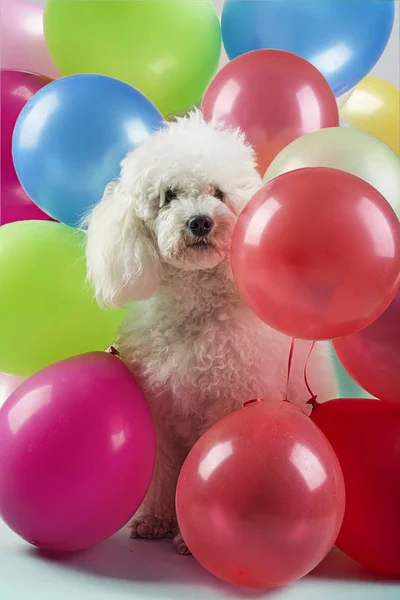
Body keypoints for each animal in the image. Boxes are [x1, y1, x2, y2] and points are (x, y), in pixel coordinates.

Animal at [85, 111, 338, 552]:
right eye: (169, 195)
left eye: (218, 193)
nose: (200, 222)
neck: (195, 309)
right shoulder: (161, 410)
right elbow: (162, 467)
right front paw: (156, 519)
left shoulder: (229, 401)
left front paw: (194, 537)